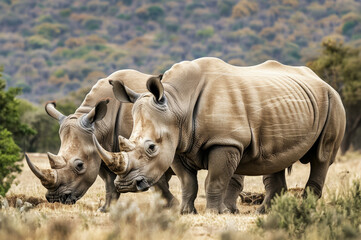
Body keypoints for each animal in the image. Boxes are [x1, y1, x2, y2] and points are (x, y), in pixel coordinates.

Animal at [92, 57, 344, 213]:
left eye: (151, 147)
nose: (125, 185)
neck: (177, 104)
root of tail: (323, 80)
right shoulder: (179, 144)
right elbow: (188, 183)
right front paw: (186, 212)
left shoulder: (225, 142)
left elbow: (214, 180)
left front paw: (214, 212)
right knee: (276, 159)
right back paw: (264, 213)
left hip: (333, 100)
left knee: (321, 158)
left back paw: (304, 209)